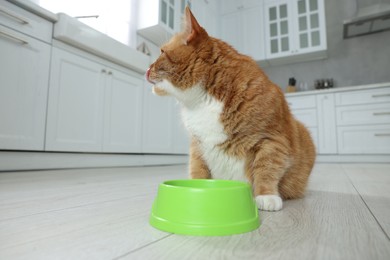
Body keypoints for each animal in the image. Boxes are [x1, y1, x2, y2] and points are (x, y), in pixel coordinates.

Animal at [145, 7, 316, 211]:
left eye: (162, 51)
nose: (146, 70)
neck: (202, 100)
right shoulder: (197, 145)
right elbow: (198, 170)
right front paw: (194, 191)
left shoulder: (272, 140)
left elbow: (266, 168)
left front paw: (266, 195)